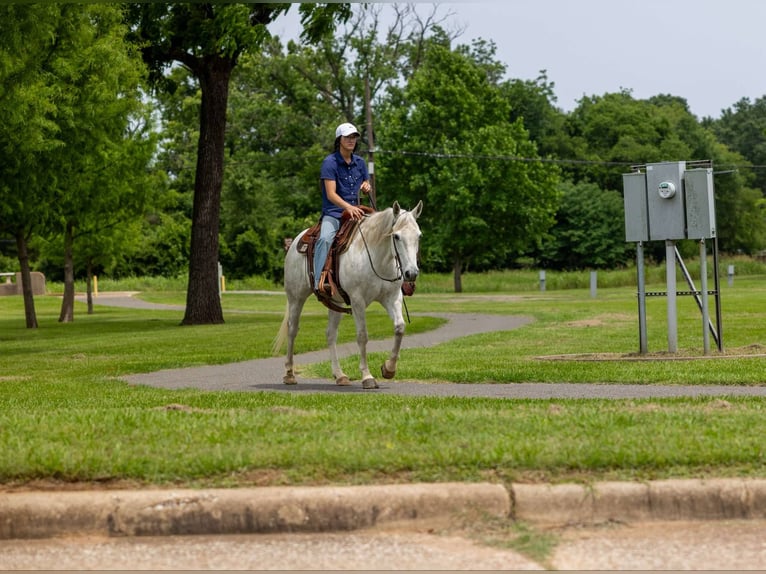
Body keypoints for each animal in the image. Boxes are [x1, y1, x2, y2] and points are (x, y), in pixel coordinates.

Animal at [272, 200, 423, 389]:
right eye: (396, 236)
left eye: (419, 236)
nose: (411, 273)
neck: (376, 257)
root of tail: (294, 243)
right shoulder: (357, 301)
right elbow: (362, 336)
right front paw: (367, 376)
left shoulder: (392, 298)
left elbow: (400, 328)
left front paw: (388, 369)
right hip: (296, 297)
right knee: (292, 330)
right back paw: (289, 374)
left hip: (336, 302)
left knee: (330, 334)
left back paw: (340, 375)